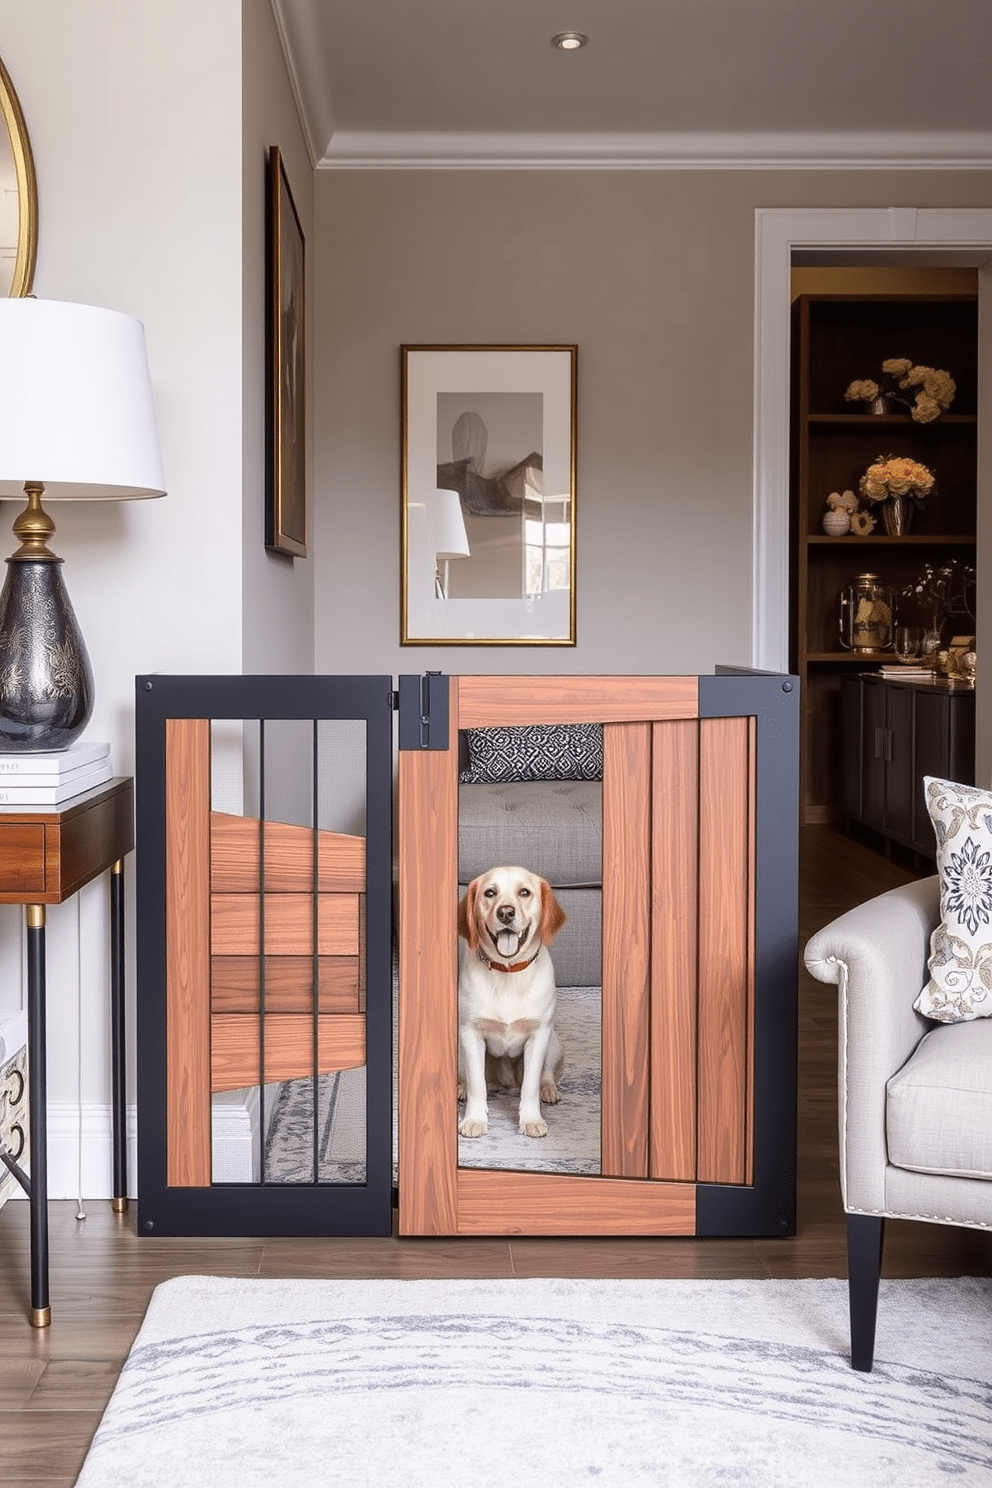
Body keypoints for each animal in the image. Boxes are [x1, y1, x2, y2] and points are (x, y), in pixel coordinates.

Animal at [455, 863, 565, 1136]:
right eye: (490, 893)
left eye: (524, 892)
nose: (505, 912)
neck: (508, 971)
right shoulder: (471, 1033)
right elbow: (477, 1084)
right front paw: (474, 1119)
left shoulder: (538, 1036)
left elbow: (530, 1086)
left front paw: (531, 1119)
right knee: (470, 1078)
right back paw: (462, 1089)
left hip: (553, 1042)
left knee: (547, 1075)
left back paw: (549, 1090)